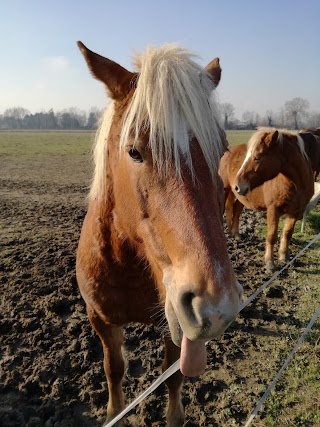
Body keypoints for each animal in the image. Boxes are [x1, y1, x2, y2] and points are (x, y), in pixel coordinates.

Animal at [76, 41, 241, 427]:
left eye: (221, 150)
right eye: (134, 151)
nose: (216, 308)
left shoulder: (177, 323)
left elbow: (174, 375)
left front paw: (174, 414)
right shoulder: (100, 319)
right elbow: (114, 368)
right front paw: (114, 411)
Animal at [219, 129, 314, 272]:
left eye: (257, 157)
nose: (237, 185)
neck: (296, 184)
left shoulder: (296, 212)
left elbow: (287, 233)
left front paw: (284, 258)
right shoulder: (273, 210)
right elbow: (271, 236)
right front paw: (270, 263)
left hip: (242, 197)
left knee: (236, 211)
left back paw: (236, 235)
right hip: (225, 190)